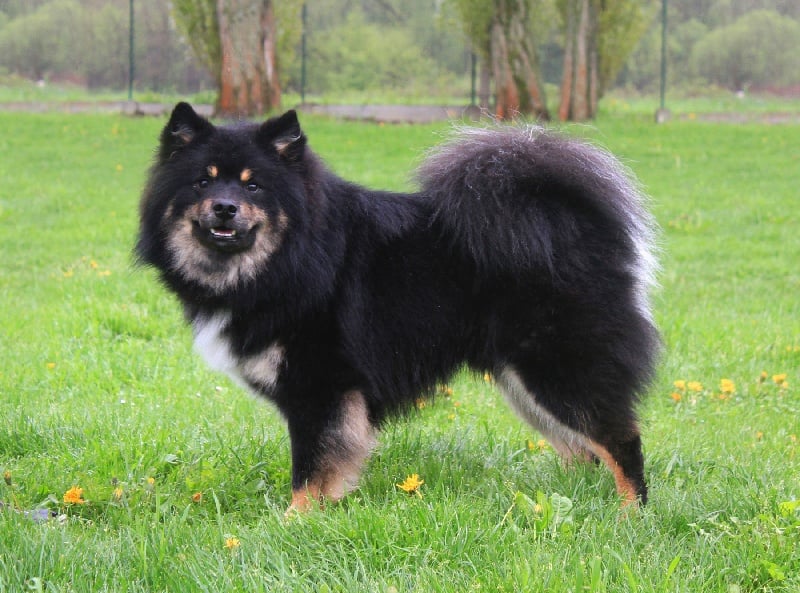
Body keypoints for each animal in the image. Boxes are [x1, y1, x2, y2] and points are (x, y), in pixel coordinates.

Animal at [137, 103, 659, 512]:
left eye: (253, 187)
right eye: (202, 182)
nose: (224, 207)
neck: (291, 258)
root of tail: (576, 222)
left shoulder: (323, 388)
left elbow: (311, 468)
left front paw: (293, 521)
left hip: (559, 368)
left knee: (621, 440)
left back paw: (629, 514)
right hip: (523, 381)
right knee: (582, 450)